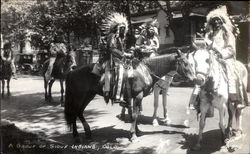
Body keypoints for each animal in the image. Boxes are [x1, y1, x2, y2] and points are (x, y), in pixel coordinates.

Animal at [64, 50, 195, 143]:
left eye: (191, 63)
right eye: (185, 63)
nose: (194, 79)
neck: (145, 71)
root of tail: (72, 72)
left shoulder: (133, 97)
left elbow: (133, 114)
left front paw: (136, 131)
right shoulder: (138, 96)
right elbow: (135, 114)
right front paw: (133, 135)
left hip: (89, 95)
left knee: (79, 112)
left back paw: (88, 132)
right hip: (78, 97)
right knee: (74, 113)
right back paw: (76, 136)